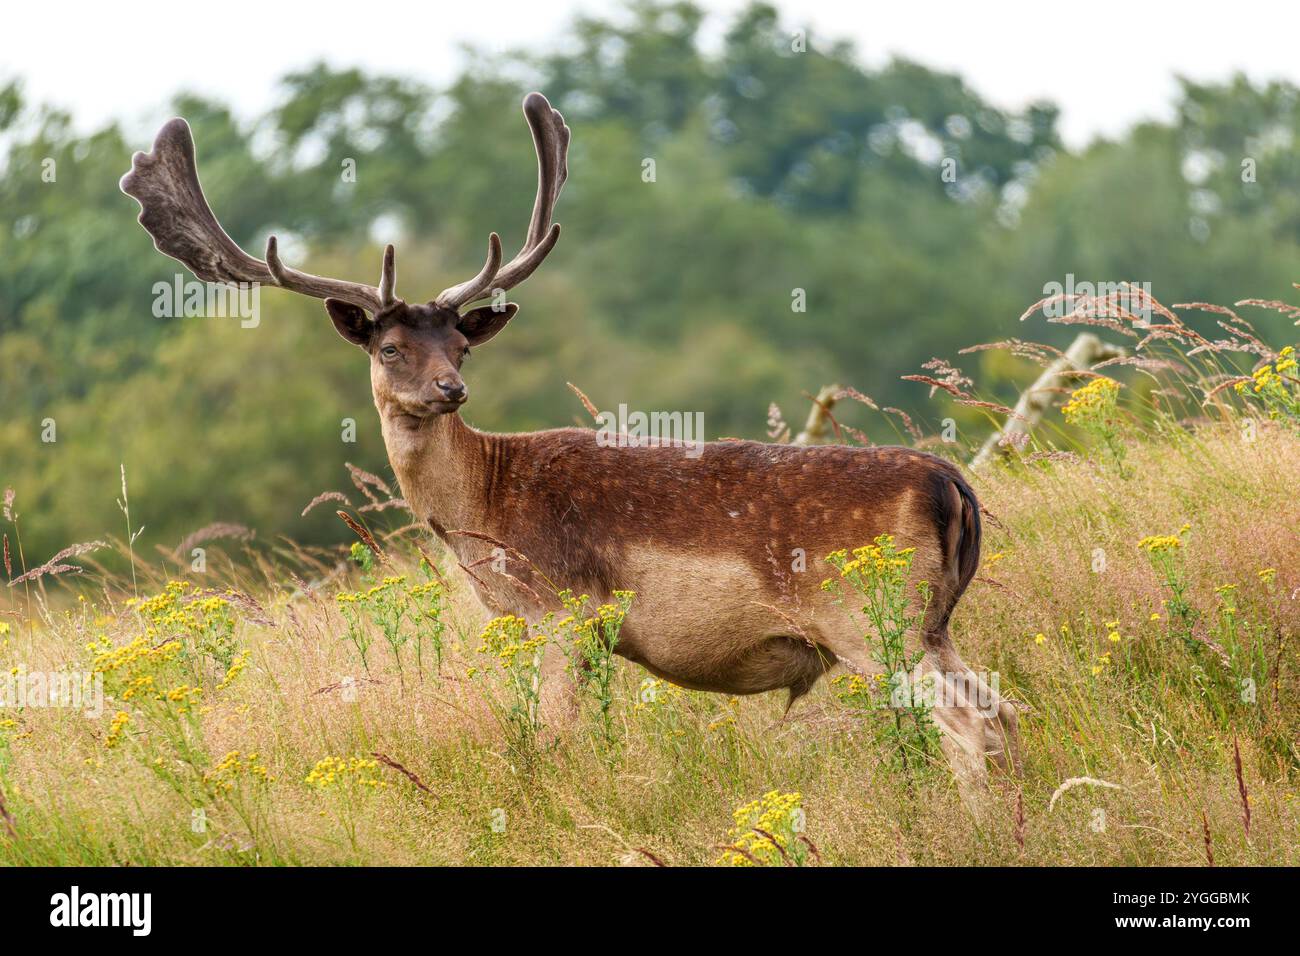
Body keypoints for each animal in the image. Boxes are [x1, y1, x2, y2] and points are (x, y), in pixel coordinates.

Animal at [121, 92, 1019, 790]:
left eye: (461, 345)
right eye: (391, 348)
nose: (450, 390)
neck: (483, 511)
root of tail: (952, 487)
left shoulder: (562, 609)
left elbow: (555, 742)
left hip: (874, 616)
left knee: (971, 725)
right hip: (929, 622)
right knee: (1003, 709)